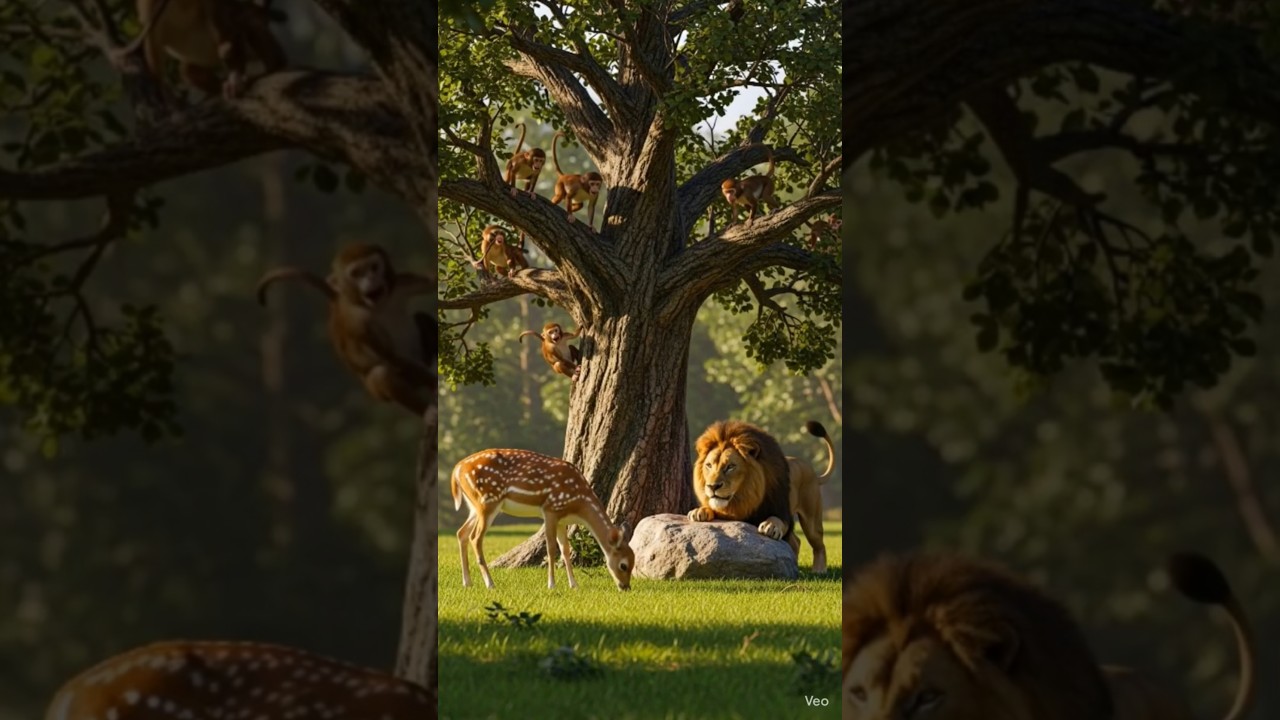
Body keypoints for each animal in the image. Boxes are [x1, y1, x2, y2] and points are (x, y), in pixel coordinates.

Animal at [450, 448, 636, 591]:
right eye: (623, 565)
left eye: (634, 563)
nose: (626, 587)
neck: (579, 503)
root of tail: (456, 470)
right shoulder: (551, 509)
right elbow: (551, 548)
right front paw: (551, 585)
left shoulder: (562, 519)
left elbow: (565, 549)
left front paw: (574, 585)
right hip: (488, 500)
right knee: (475, 538)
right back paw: (490, 583)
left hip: (474, 505)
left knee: (461, 533)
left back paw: (467, 582)